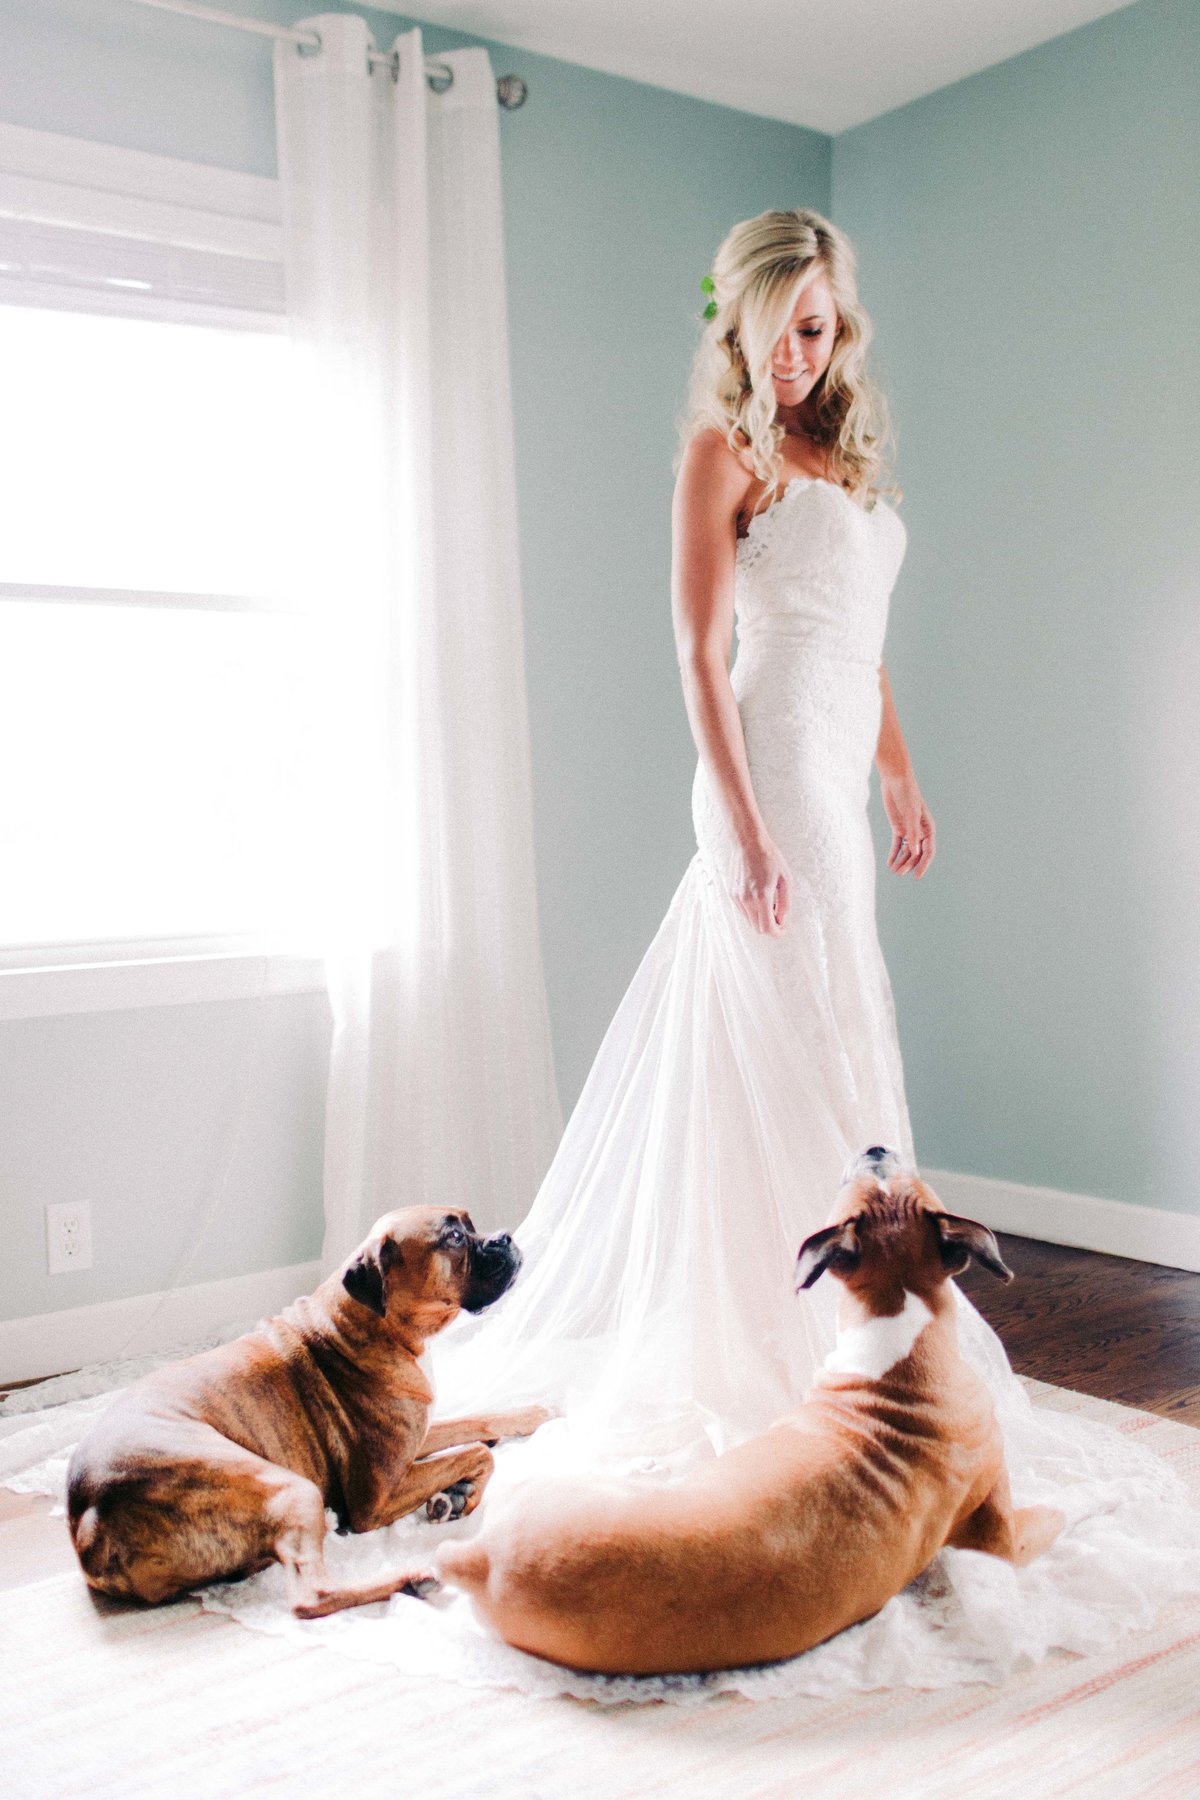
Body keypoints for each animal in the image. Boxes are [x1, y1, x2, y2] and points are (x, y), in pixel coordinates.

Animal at [67, 1209, 554, 1620]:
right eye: (453, 1237)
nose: (505, 1237)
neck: (374, 1325)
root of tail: (87, 1520)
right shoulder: (378, 1497)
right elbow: (478, 1452)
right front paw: (463, 1495)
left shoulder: (418, 1434)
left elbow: (476, 1420)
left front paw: (530, 1415)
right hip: (291, 1489)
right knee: (311, 1596)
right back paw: (409, 1579)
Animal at [426, 1144, 1065, 1677]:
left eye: (900, 1181)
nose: (877, 1147)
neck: (899, 1330)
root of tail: (484, 1558)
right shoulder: (1001, 1536)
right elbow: (1057, 1515)